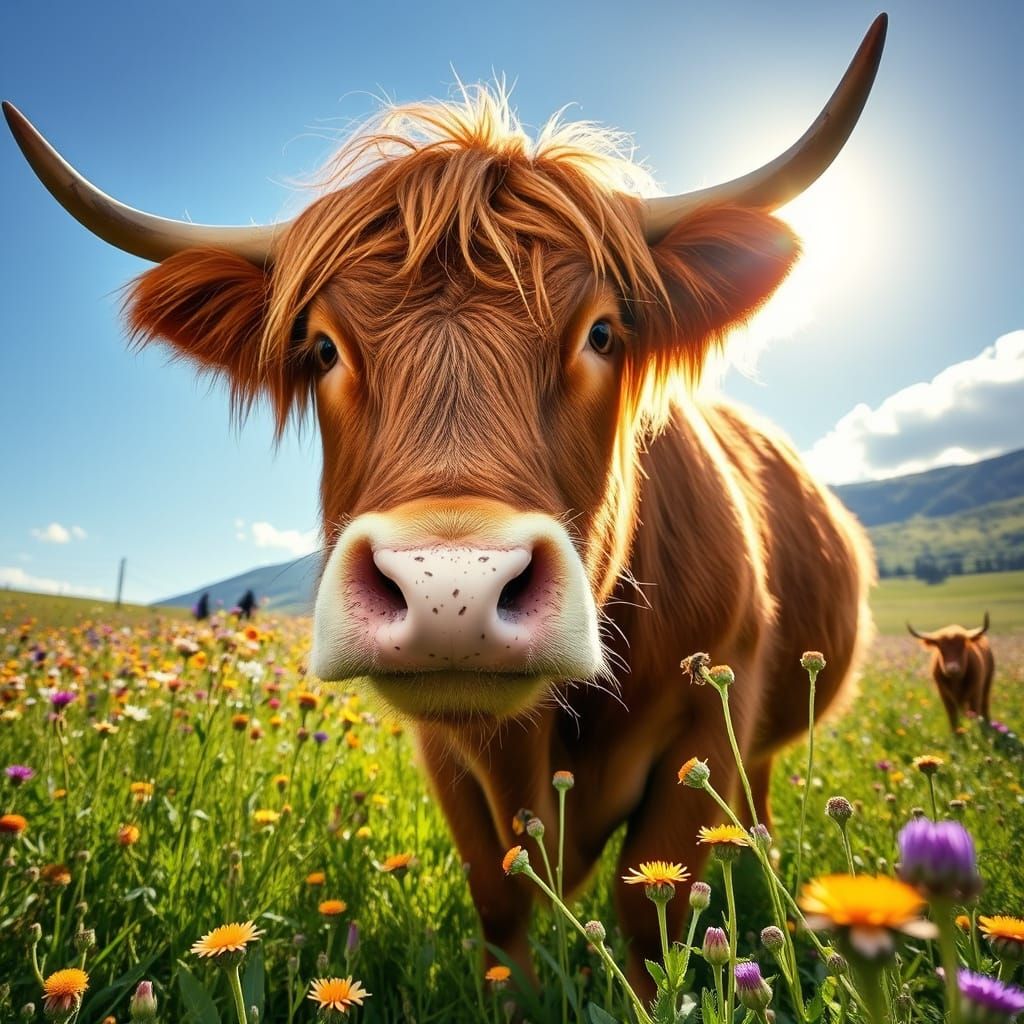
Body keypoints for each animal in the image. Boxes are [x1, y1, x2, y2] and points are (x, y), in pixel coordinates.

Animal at [4, 15, 884, 990]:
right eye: (322, 349)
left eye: (603, 332)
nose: (449, 589)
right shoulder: (451, 758)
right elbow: (501, 898)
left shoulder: (705, 720)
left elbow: (653, 913)